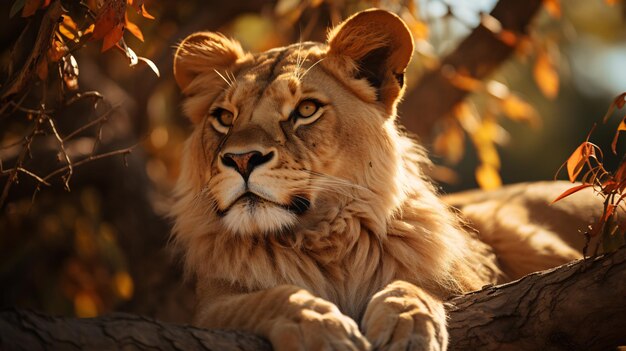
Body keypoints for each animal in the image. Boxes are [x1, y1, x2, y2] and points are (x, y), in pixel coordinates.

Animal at [168, 8, 596, 351]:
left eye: (305, 110)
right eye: (224, 117)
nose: (241, 159)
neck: (321, 238)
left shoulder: (473, 282)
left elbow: (416, 285)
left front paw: (406, 323)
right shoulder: (209, 309)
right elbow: (269, 298)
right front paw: (319, 327)